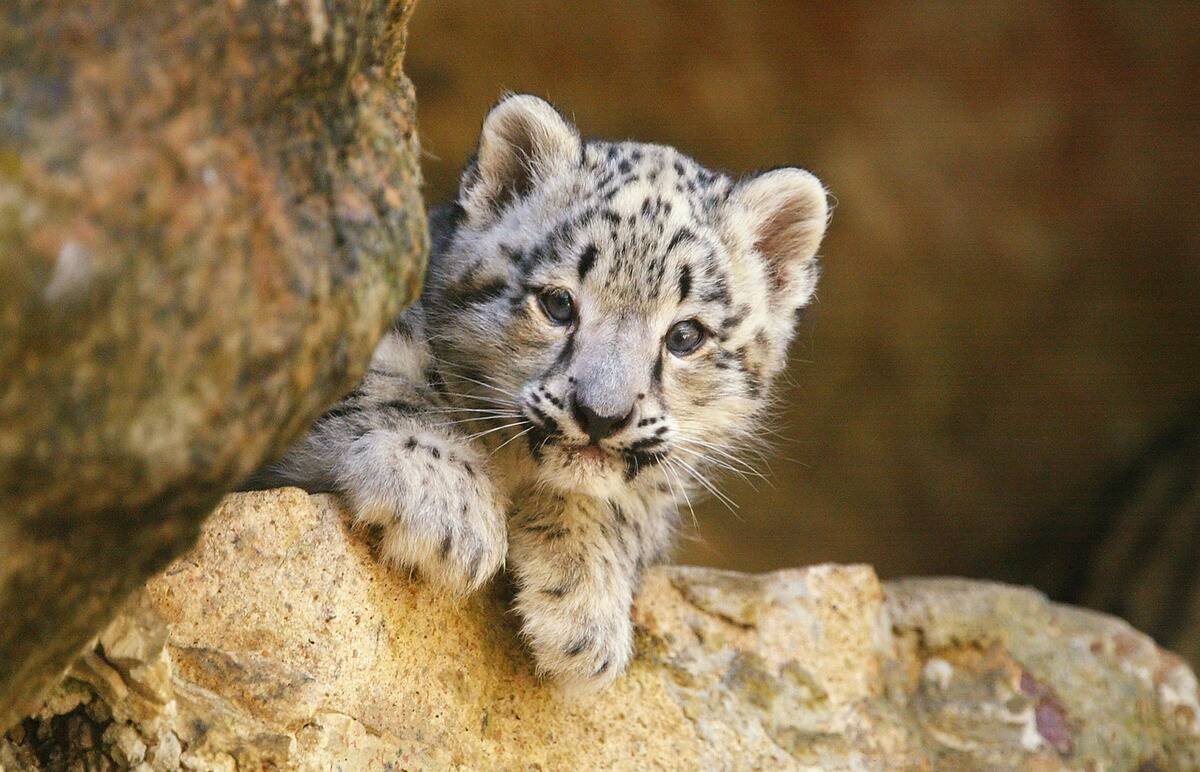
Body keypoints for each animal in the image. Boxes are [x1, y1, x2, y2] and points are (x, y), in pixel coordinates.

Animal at [253, 94, 830, 691]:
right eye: (557, 304)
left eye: (685, 336)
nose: (601, 416)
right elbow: (372, 383)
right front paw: (446, 503)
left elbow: (624, 505)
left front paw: (584, 608)